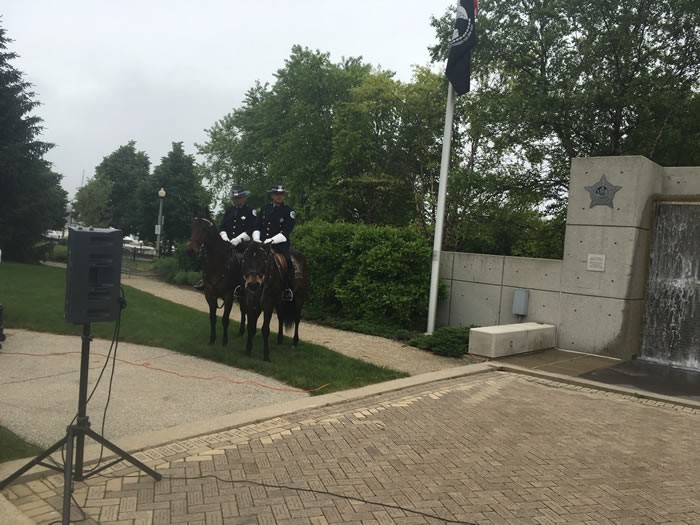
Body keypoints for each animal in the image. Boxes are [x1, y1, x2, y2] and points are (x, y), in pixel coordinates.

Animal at [186, 213, 246, 344]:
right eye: (192, 227)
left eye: (204, 229)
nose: (190, 251)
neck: (217, 264)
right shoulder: (209, 295)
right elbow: (212, 317)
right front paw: (212, 339)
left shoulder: (229, 296)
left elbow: (225, 319)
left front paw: (224, 341)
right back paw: (241, 331)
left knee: (245, 310)